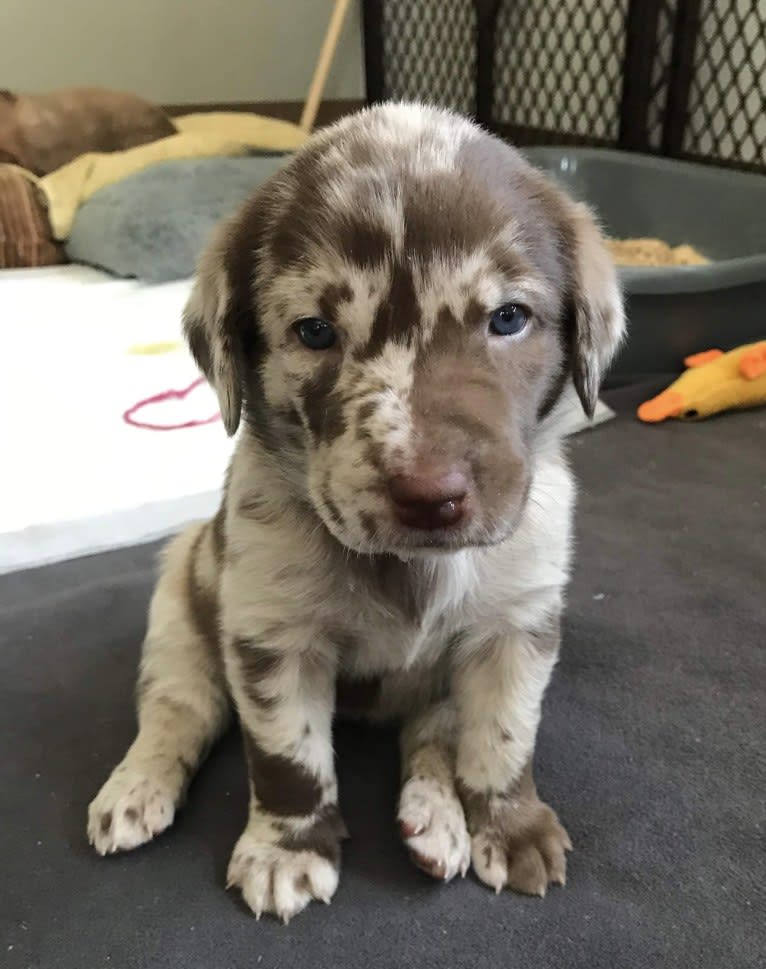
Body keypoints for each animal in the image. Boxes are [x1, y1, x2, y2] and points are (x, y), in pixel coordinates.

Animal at [87, 102, 624, 920]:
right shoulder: (272, 636)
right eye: (315, 332)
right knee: (178, 707)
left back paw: (434, 819)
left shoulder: (517, 623)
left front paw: (509, 825)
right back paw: (136, 785)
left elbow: (502, 737)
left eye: (507, 318)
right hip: (179, 599)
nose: (431, 493)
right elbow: (289, 757)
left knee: (431, 735)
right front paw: (287, 849)